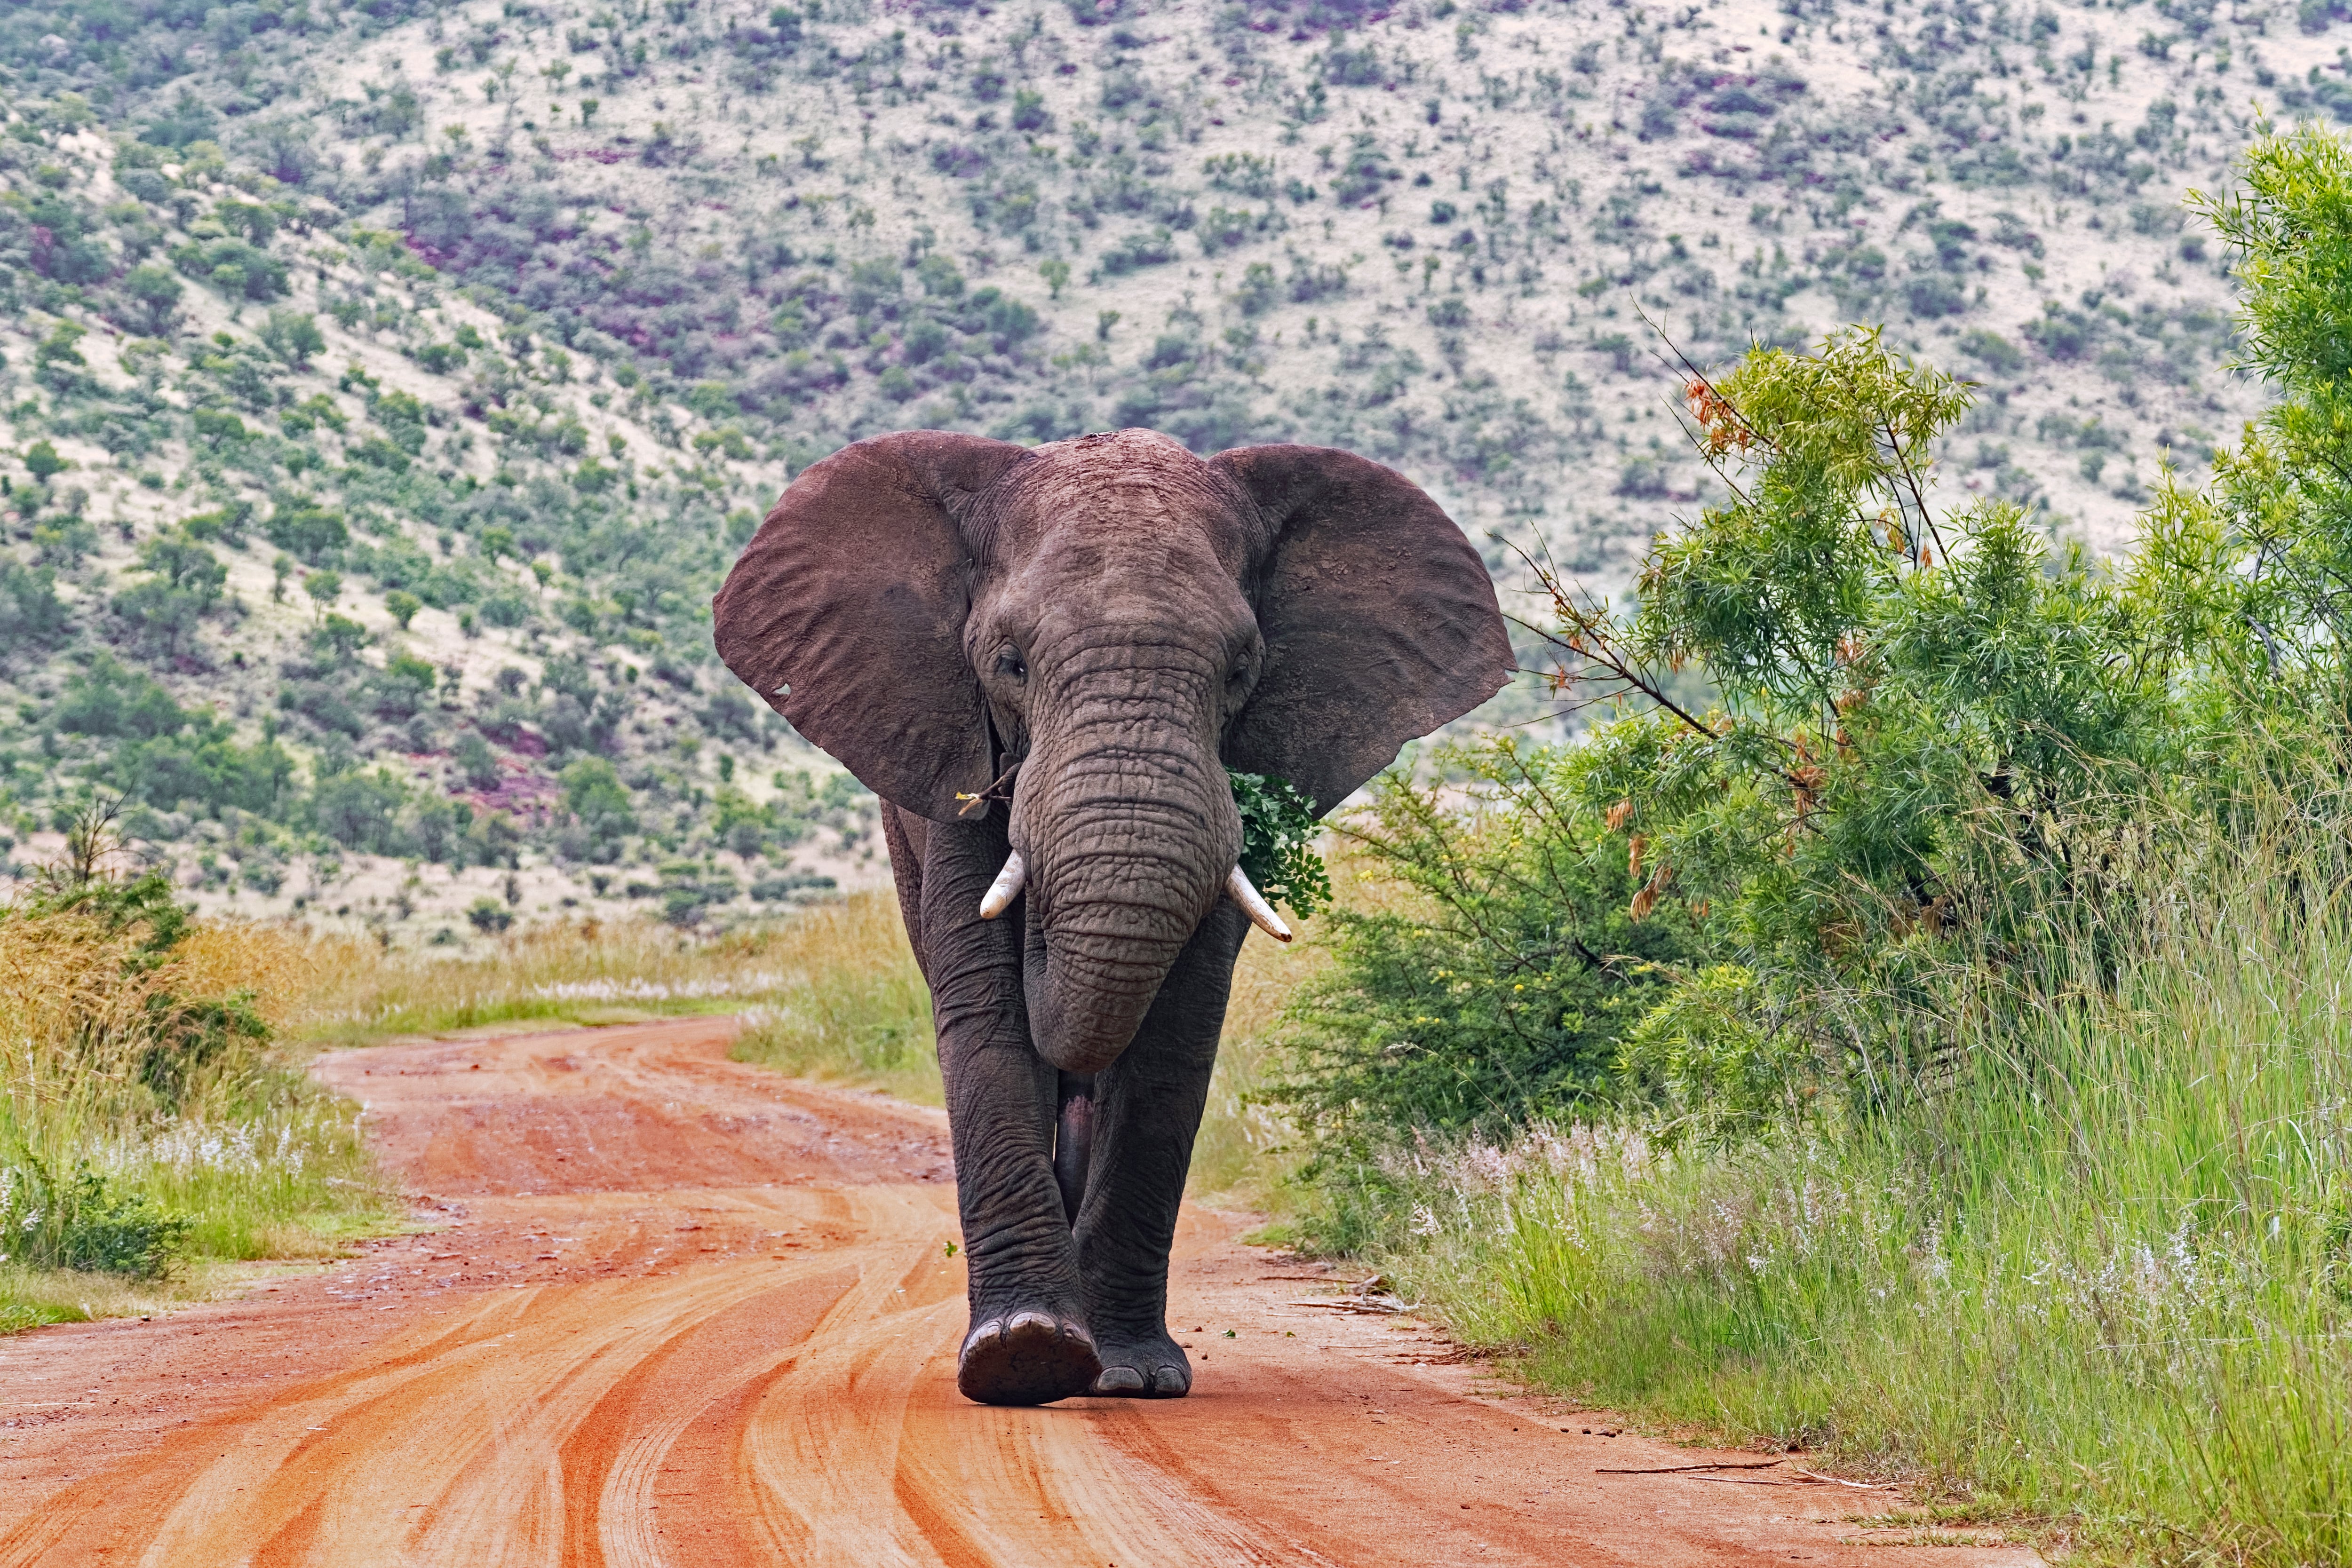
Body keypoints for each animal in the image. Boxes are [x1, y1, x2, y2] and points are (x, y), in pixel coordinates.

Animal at [710, 430, 1505, 1410]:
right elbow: (987, 1011)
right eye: (1009, 663)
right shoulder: (955, 759)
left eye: (1241, 671)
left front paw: (1131, 1374)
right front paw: (1023, 1356)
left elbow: (1174, 1032)